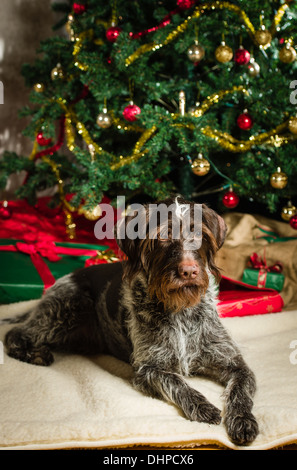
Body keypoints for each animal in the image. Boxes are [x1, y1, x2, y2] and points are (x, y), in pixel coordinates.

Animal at [3, 197, 256, 444]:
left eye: (198, 234)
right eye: (163, 236)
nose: (189, 271)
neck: (180, 310)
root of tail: (65, 278)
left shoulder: (234, 362)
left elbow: (241, 389)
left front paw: (242, 419)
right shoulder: (148, 369)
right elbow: (177, 383)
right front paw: (202, 407)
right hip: (68, 307)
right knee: (14, 334)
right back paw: (34, 353)